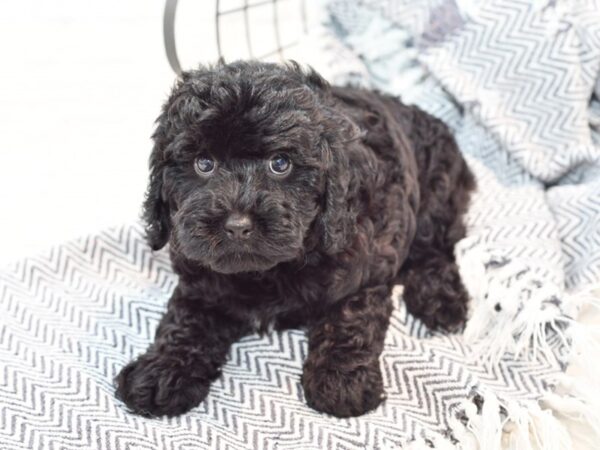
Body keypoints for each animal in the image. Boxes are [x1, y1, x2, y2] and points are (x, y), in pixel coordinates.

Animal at [116, 60, 474, 418]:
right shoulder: (200, 279)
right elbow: (186, 320)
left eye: (280, 164)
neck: (267, 272)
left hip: (437, 196)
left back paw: (442, 302)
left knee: (435, 249)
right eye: (204, 163)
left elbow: (350, 318)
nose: (237, 225)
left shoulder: (364, 269)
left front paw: (342, 381)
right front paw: (162, 372)